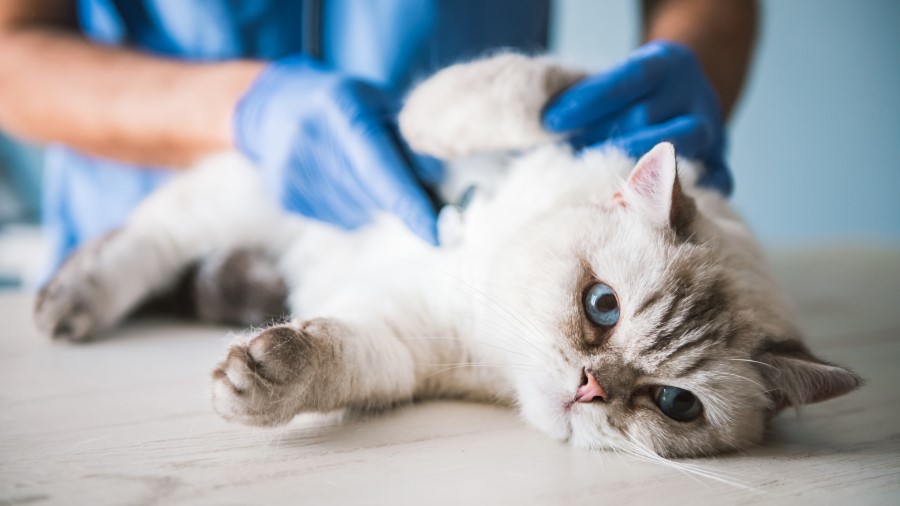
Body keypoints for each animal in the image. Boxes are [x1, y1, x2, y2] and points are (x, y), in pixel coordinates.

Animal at [35, 53, 860, 456]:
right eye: (603, 307)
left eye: (673, 404)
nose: (590, 388)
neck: (485, 277)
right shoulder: (532, 110)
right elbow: (525, 94)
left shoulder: (402, 343)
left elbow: (326, 357)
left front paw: (261, 377)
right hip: (241, 195)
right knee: (137, 244)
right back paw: (65, 307)